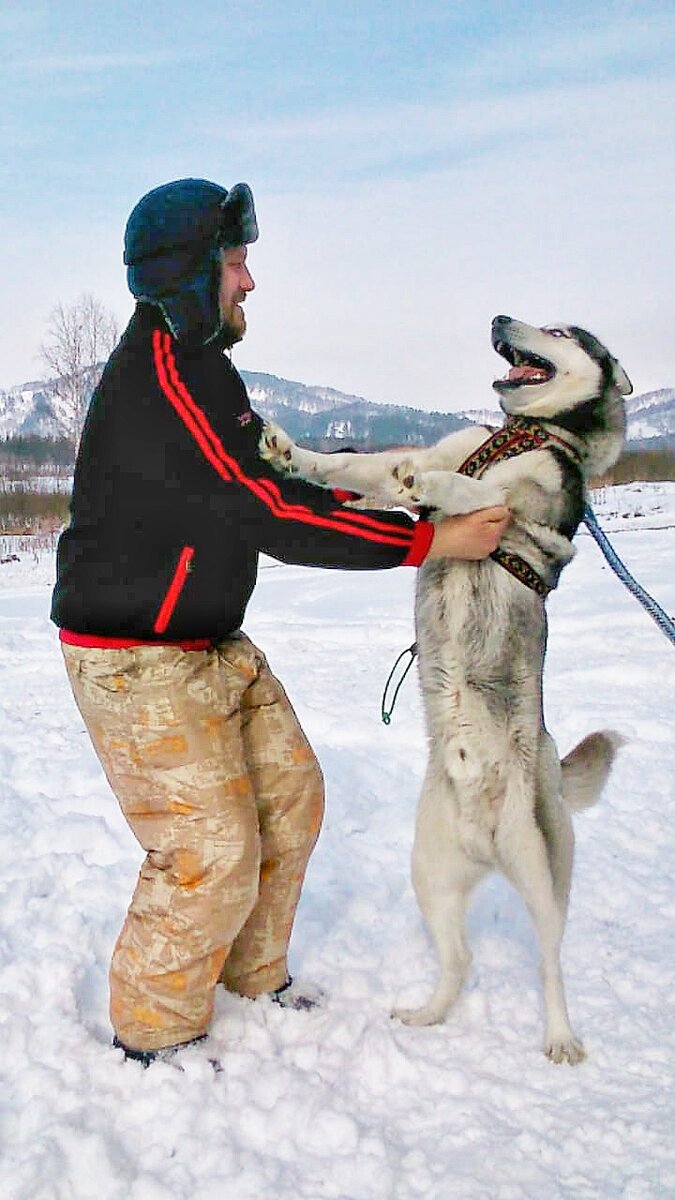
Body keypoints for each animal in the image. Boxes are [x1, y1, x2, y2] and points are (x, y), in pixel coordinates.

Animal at [258, 316, 629, 1060]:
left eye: (559, 329)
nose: (499, 319)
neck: (527, 432)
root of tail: (485, 840)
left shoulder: (522, 502)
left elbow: (477, 492)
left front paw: (429, 484)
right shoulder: (413, 462)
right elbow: (354, 469)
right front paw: (290, 451)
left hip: (543, 876)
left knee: (549, 964)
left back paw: (560, 1037)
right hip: (429, 873)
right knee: (460, 959)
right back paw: (428, 1014)